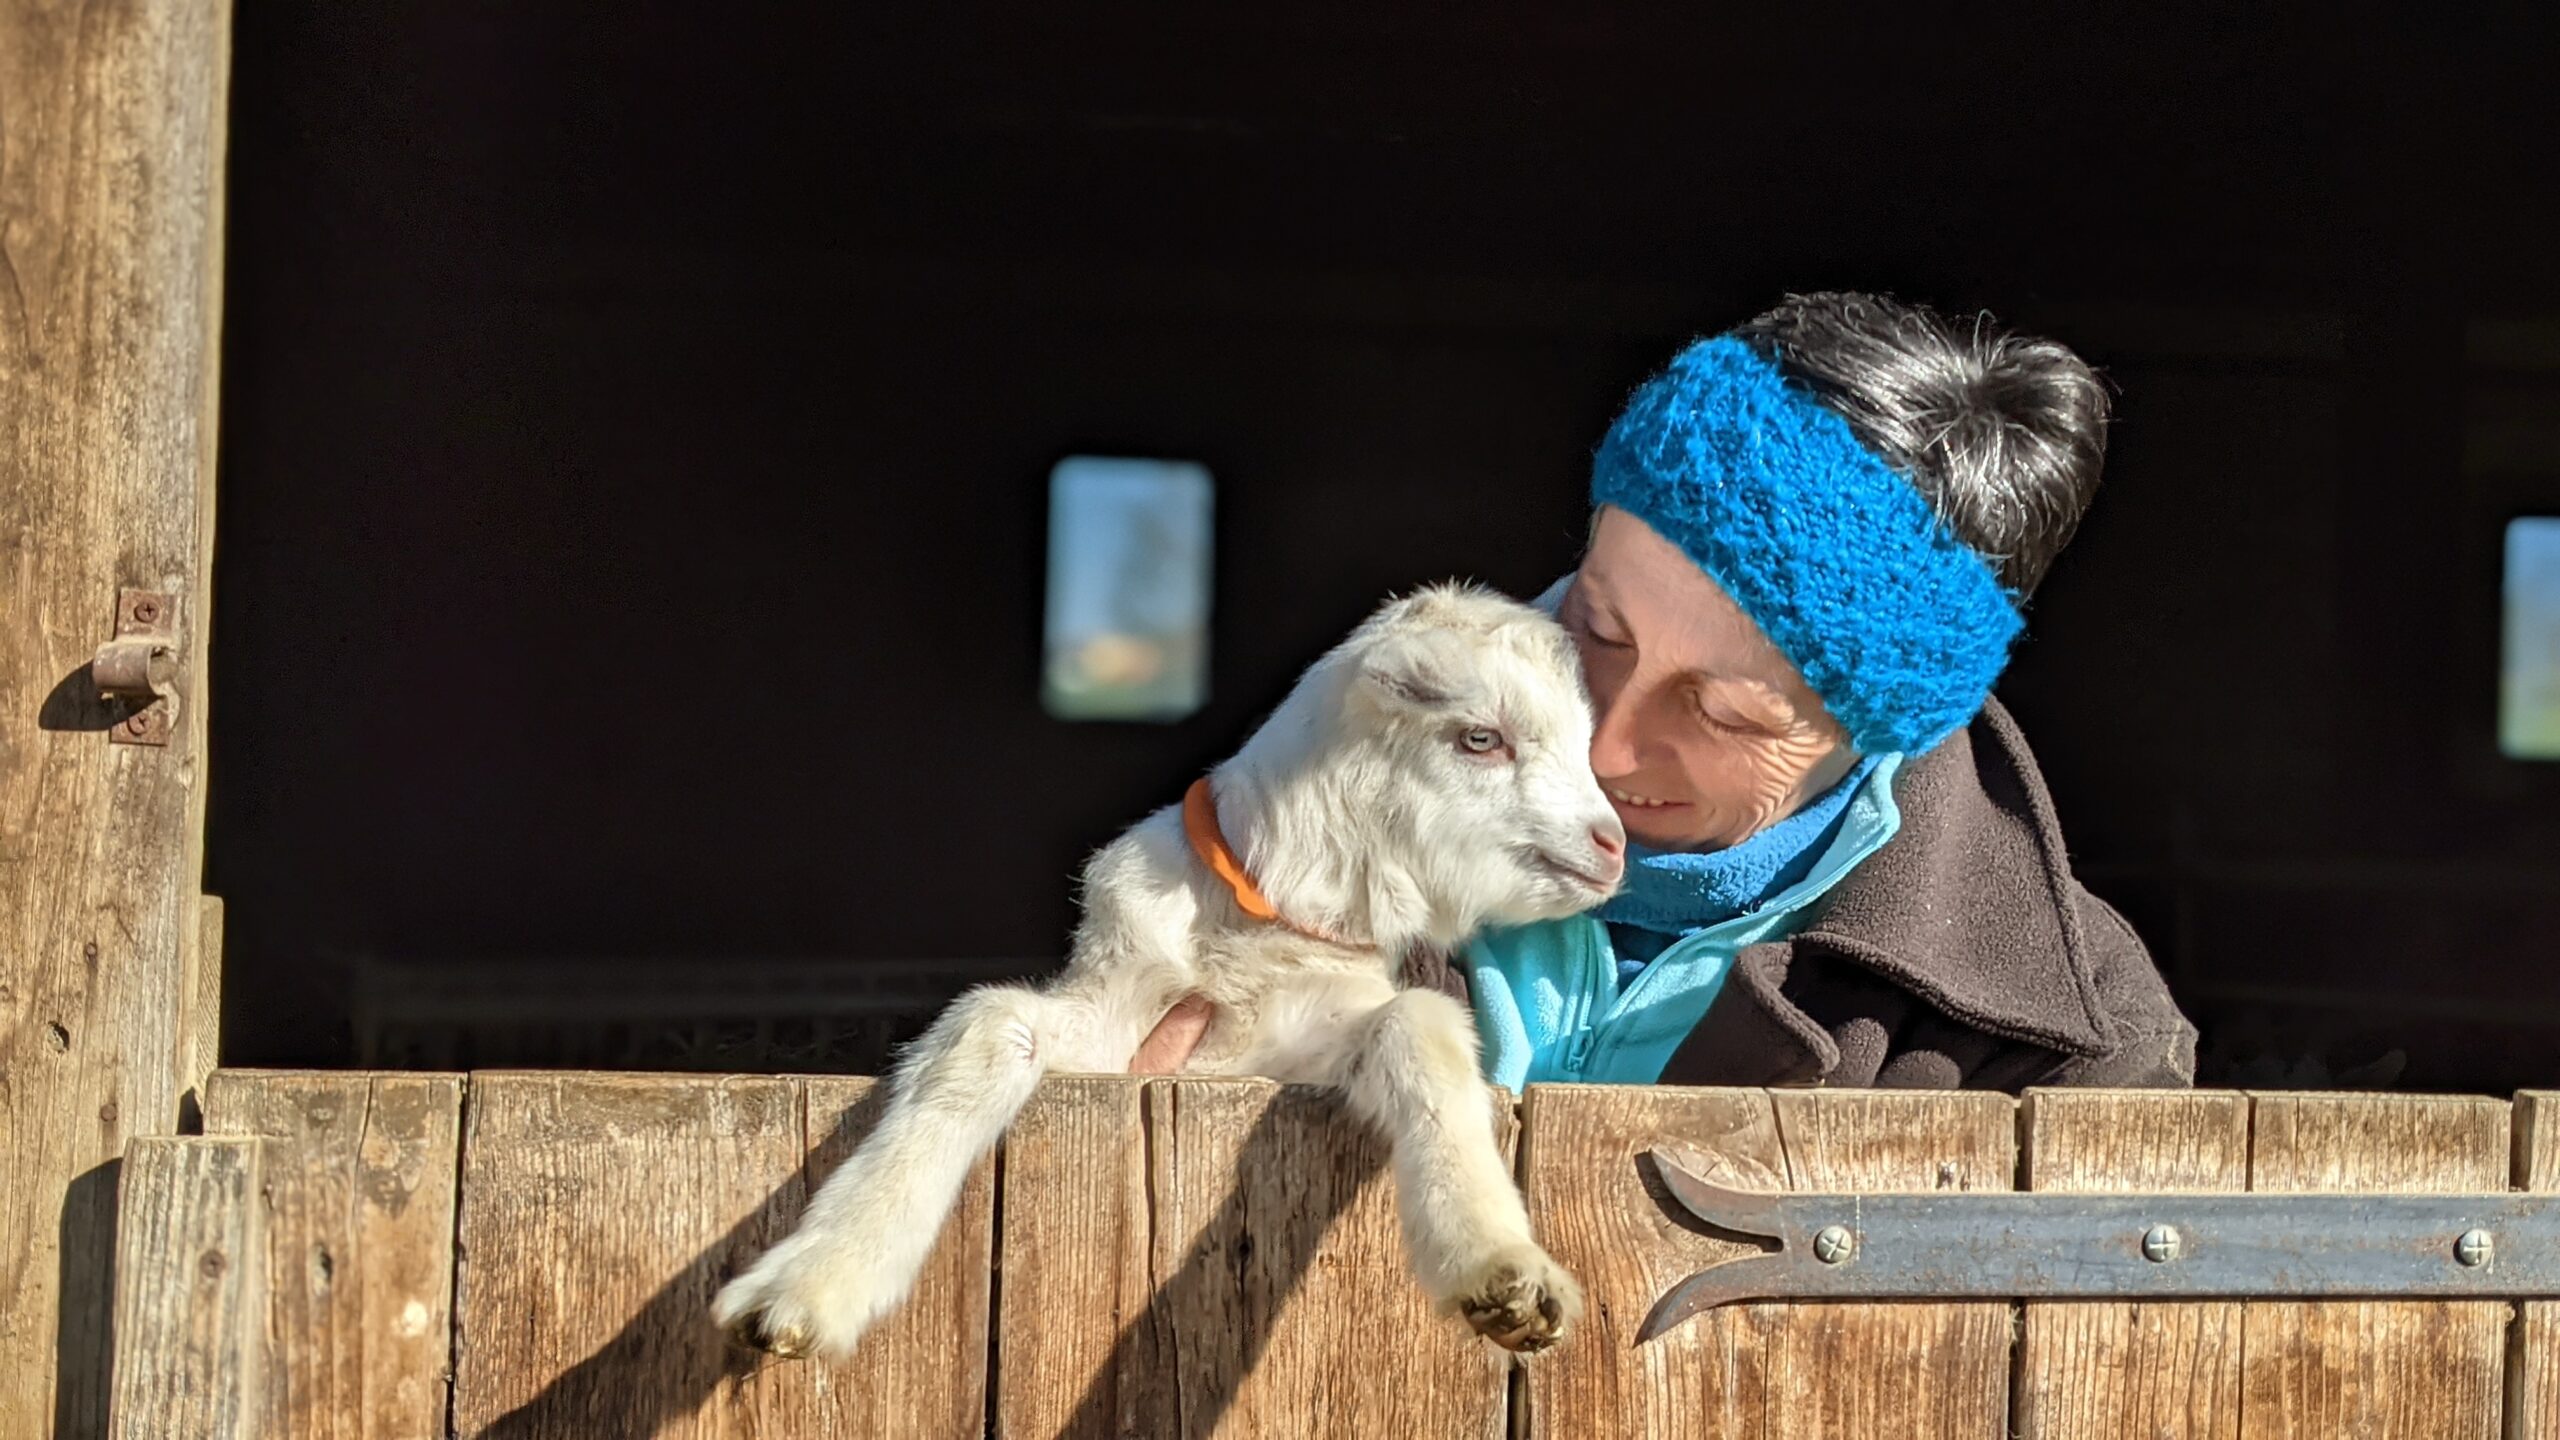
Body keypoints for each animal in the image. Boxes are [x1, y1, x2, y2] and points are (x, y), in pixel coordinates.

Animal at [713, 583, 1626, 1359]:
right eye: (1481, 738)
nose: (1612, 843)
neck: (1261, 927)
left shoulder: (1307, 1043)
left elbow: (1421, 1026)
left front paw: (1505, 1277)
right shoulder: (1118, 1017)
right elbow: (984, 1026)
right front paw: (805, 1286)